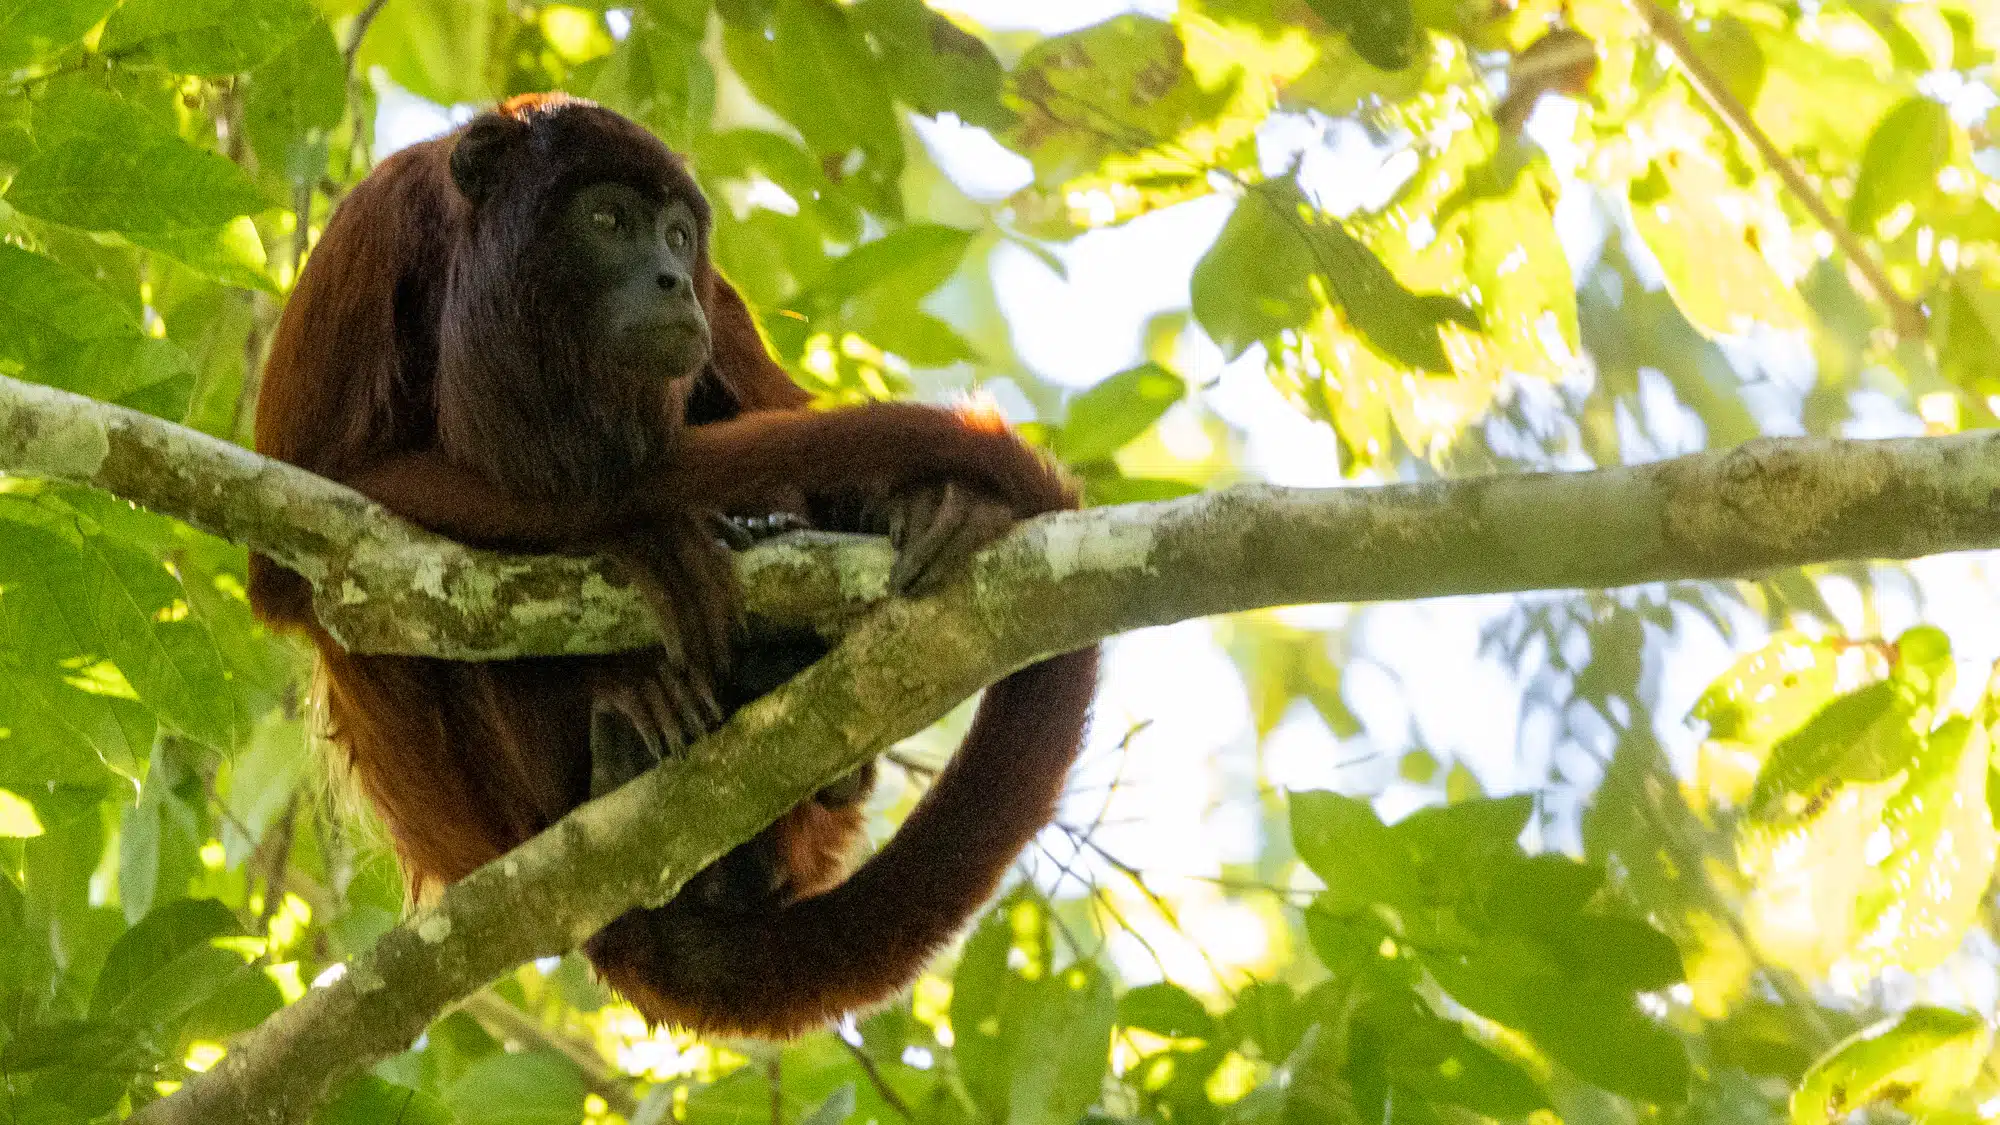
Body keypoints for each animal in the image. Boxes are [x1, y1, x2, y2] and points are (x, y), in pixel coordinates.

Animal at [247, 92, 1099, 1037]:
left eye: (679, 235)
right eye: (609, 221)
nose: (669, 279)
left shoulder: (715, 306)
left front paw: (918, 503)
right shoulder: (370, 240)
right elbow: (298, 569)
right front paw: (638, 529)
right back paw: (629, 721)